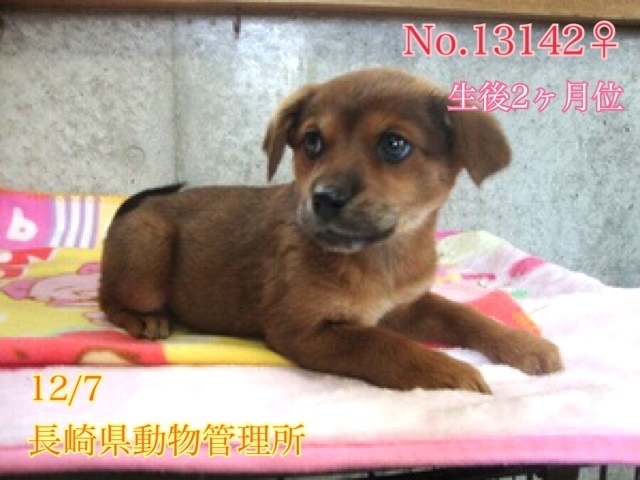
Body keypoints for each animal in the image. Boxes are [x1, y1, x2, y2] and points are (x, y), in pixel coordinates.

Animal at [99, 68, 562, 393]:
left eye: (395, 145)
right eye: (312, 142)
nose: (323, 198)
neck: (382, 256)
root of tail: (138, 205)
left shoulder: (406, 306)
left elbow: (464, 314)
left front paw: (526, 345)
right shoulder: (303, 329)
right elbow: (381, 344)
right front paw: (448, 371)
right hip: (146, 254)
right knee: (108, 298)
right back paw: (145, 320)